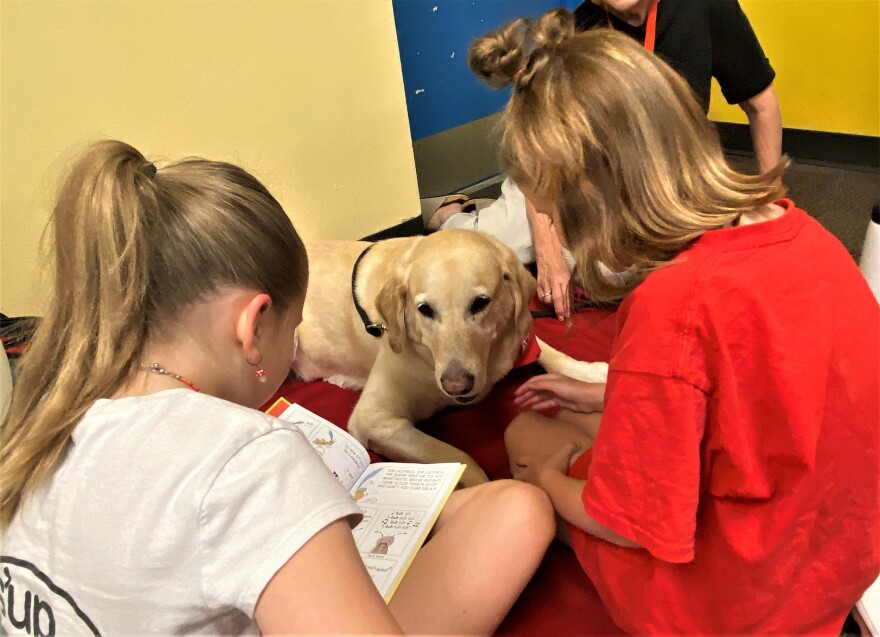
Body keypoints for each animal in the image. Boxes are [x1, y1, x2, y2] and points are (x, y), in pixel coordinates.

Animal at [292, 229, 608, 482]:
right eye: (425, 309)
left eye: (480, 303)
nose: (456, 385)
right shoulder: (373, 419)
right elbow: (460, 458)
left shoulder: (519, 336)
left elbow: (547, 351)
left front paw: (591, 372)